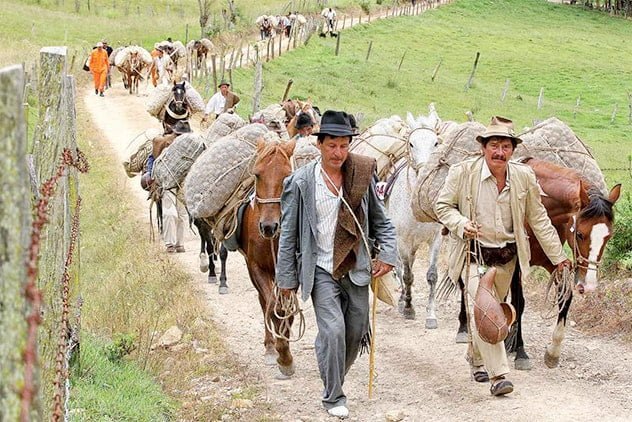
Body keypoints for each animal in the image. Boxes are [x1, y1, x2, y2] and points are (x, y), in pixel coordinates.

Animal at [238, 136, 298, 376]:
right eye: (257, 174)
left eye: (287, 176)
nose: (269, 226)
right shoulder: (256, 267)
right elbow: (272, 306)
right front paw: (281, 353)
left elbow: (286, 309)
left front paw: (286, 353)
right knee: (264, 302)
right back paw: (270, 346)